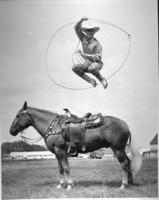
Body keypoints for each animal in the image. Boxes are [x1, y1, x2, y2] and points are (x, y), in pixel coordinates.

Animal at [9, 101, 142, 191]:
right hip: (120, 149)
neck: (53, 126)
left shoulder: (61, 150)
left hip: (117, 149)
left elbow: (66, 168)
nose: (11, 131)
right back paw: (130, 182)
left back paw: (123, 185)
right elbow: (60, 169)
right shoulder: (57, 153)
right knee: (128, 163)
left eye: (18, 115)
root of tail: (125, 125)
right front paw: (60, 185)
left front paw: (69, 185)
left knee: (124, 164)